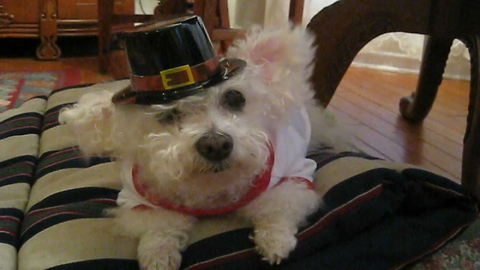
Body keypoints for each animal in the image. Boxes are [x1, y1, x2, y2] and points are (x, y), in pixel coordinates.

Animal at [60, 17, 348, 270]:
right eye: (168, 115)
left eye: (235, 98)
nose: (216, 145)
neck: (213, 191)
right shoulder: (139, 199)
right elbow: (159, 228)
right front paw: (158, 255)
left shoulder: (292, 174)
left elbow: (277, 209)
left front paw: (275, 241)